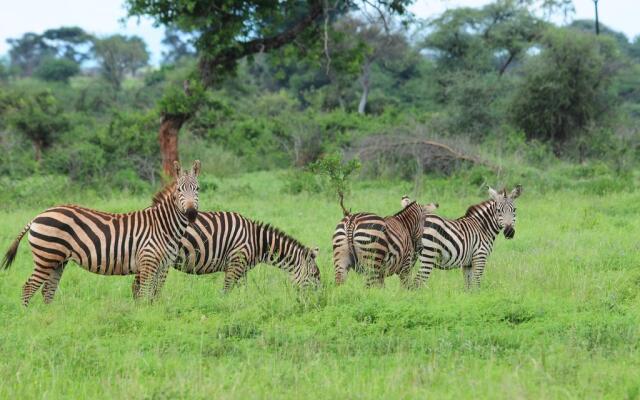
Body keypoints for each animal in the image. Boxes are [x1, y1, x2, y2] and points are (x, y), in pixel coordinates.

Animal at [1, 161, 201, 304]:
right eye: (179, 189)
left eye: (197, 189)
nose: (191, 213)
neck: (163, 225)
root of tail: (38, 215)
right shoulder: (148, 262)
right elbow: (145, 294)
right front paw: (144, 316)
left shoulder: (162, 266)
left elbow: (155, 295)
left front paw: (153, 314)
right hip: (46, 258)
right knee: (28, 288)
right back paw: (29, 318)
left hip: (58, 261)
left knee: (47, 291)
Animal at [172, 212, 320, 290]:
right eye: (314, 275)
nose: (320, 299)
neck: (257, 242)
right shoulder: (235, 263)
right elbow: (226, 290)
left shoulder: (242, 269)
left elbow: (243, 291)